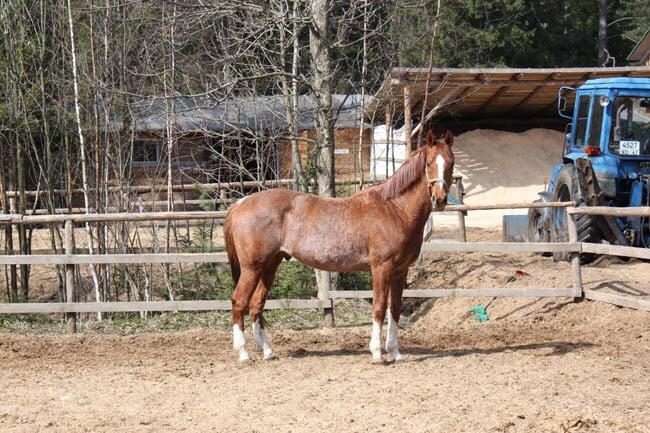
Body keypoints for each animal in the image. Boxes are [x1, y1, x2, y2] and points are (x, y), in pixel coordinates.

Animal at [225, 127, 454, 362]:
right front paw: (377, 353)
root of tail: (240, 203)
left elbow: (395, 309)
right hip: (252, 268)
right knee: (239, 301)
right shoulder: (381, 267)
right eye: (429, 163)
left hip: (270, 265)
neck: (394, 209)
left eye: (451, 163)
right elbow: (379, 307)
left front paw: (395, 352)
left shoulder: (401, 270)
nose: (440, 199)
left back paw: (268, 351)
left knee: (256, 304)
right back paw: (244, 353)